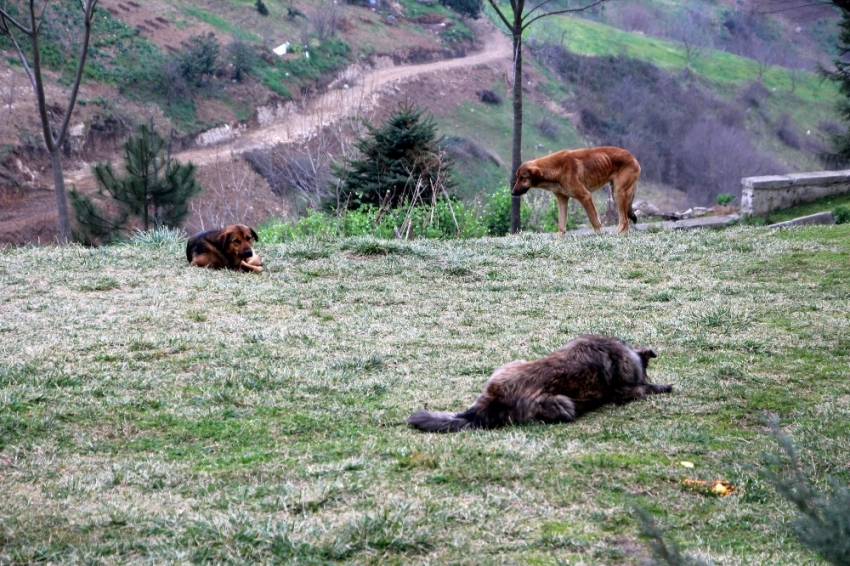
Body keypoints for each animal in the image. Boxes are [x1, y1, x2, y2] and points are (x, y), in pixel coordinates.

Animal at [506, 149, 640, 235]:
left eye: (523, 178)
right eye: (517, 177)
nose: (512, 193)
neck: (557, 169)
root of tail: (633, 157)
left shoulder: (585, 196)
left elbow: (594, 221)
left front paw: (599, 236)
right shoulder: (562, 200)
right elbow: (561, 226)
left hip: (618, 193)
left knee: (624, 220)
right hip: (615, 193)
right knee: (625, 220)